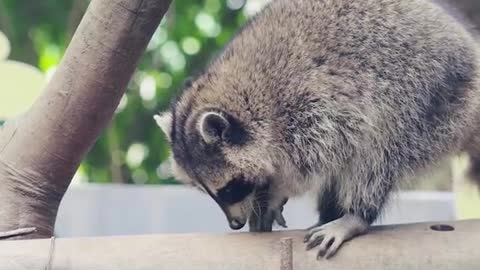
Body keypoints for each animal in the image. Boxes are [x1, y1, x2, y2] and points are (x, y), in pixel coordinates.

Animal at [154, 0, 480, 260]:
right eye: (209, 192)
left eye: (230, 188)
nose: (234, 224)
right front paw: (265, 194)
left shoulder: (315, 105)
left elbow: (316, 159)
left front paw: (275, 190)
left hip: (426, 97)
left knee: (378, 152)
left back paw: (356, 214)